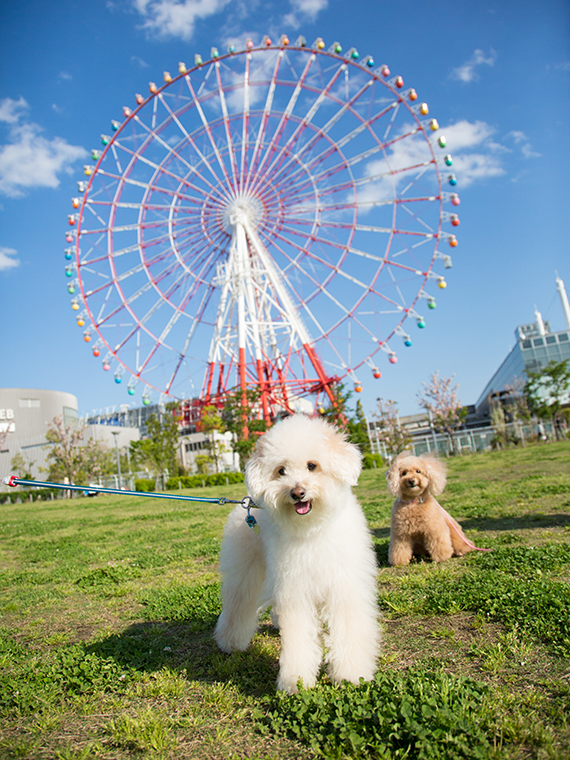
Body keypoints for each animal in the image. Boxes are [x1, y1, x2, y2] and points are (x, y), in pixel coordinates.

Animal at [215, 416, 380, 696]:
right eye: (281, 470)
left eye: (312, 466)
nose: (297, 492)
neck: (312, 529)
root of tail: (246, 504)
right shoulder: (295, 590)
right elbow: (298, 638)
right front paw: (296, 681)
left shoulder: (344, 587)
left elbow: (348, 630)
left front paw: (350, 674)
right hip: (246, 572)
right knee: (238, 606)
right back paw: (230, 642)